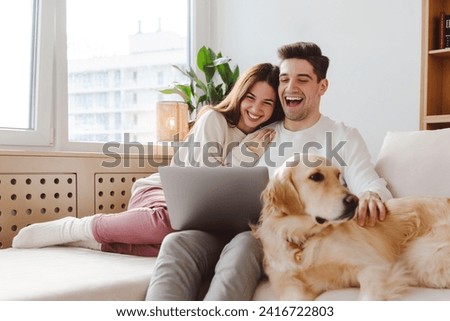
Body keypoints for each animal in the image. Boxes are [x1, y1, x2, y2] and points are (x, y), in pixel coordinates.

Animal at [251, 154, 450, 298]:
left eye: (338, 175)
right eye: (316, 176)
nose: (354, 201)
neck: (303, 238)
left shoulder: (376, 267)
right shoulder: (291, 287)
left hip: (422, 256)